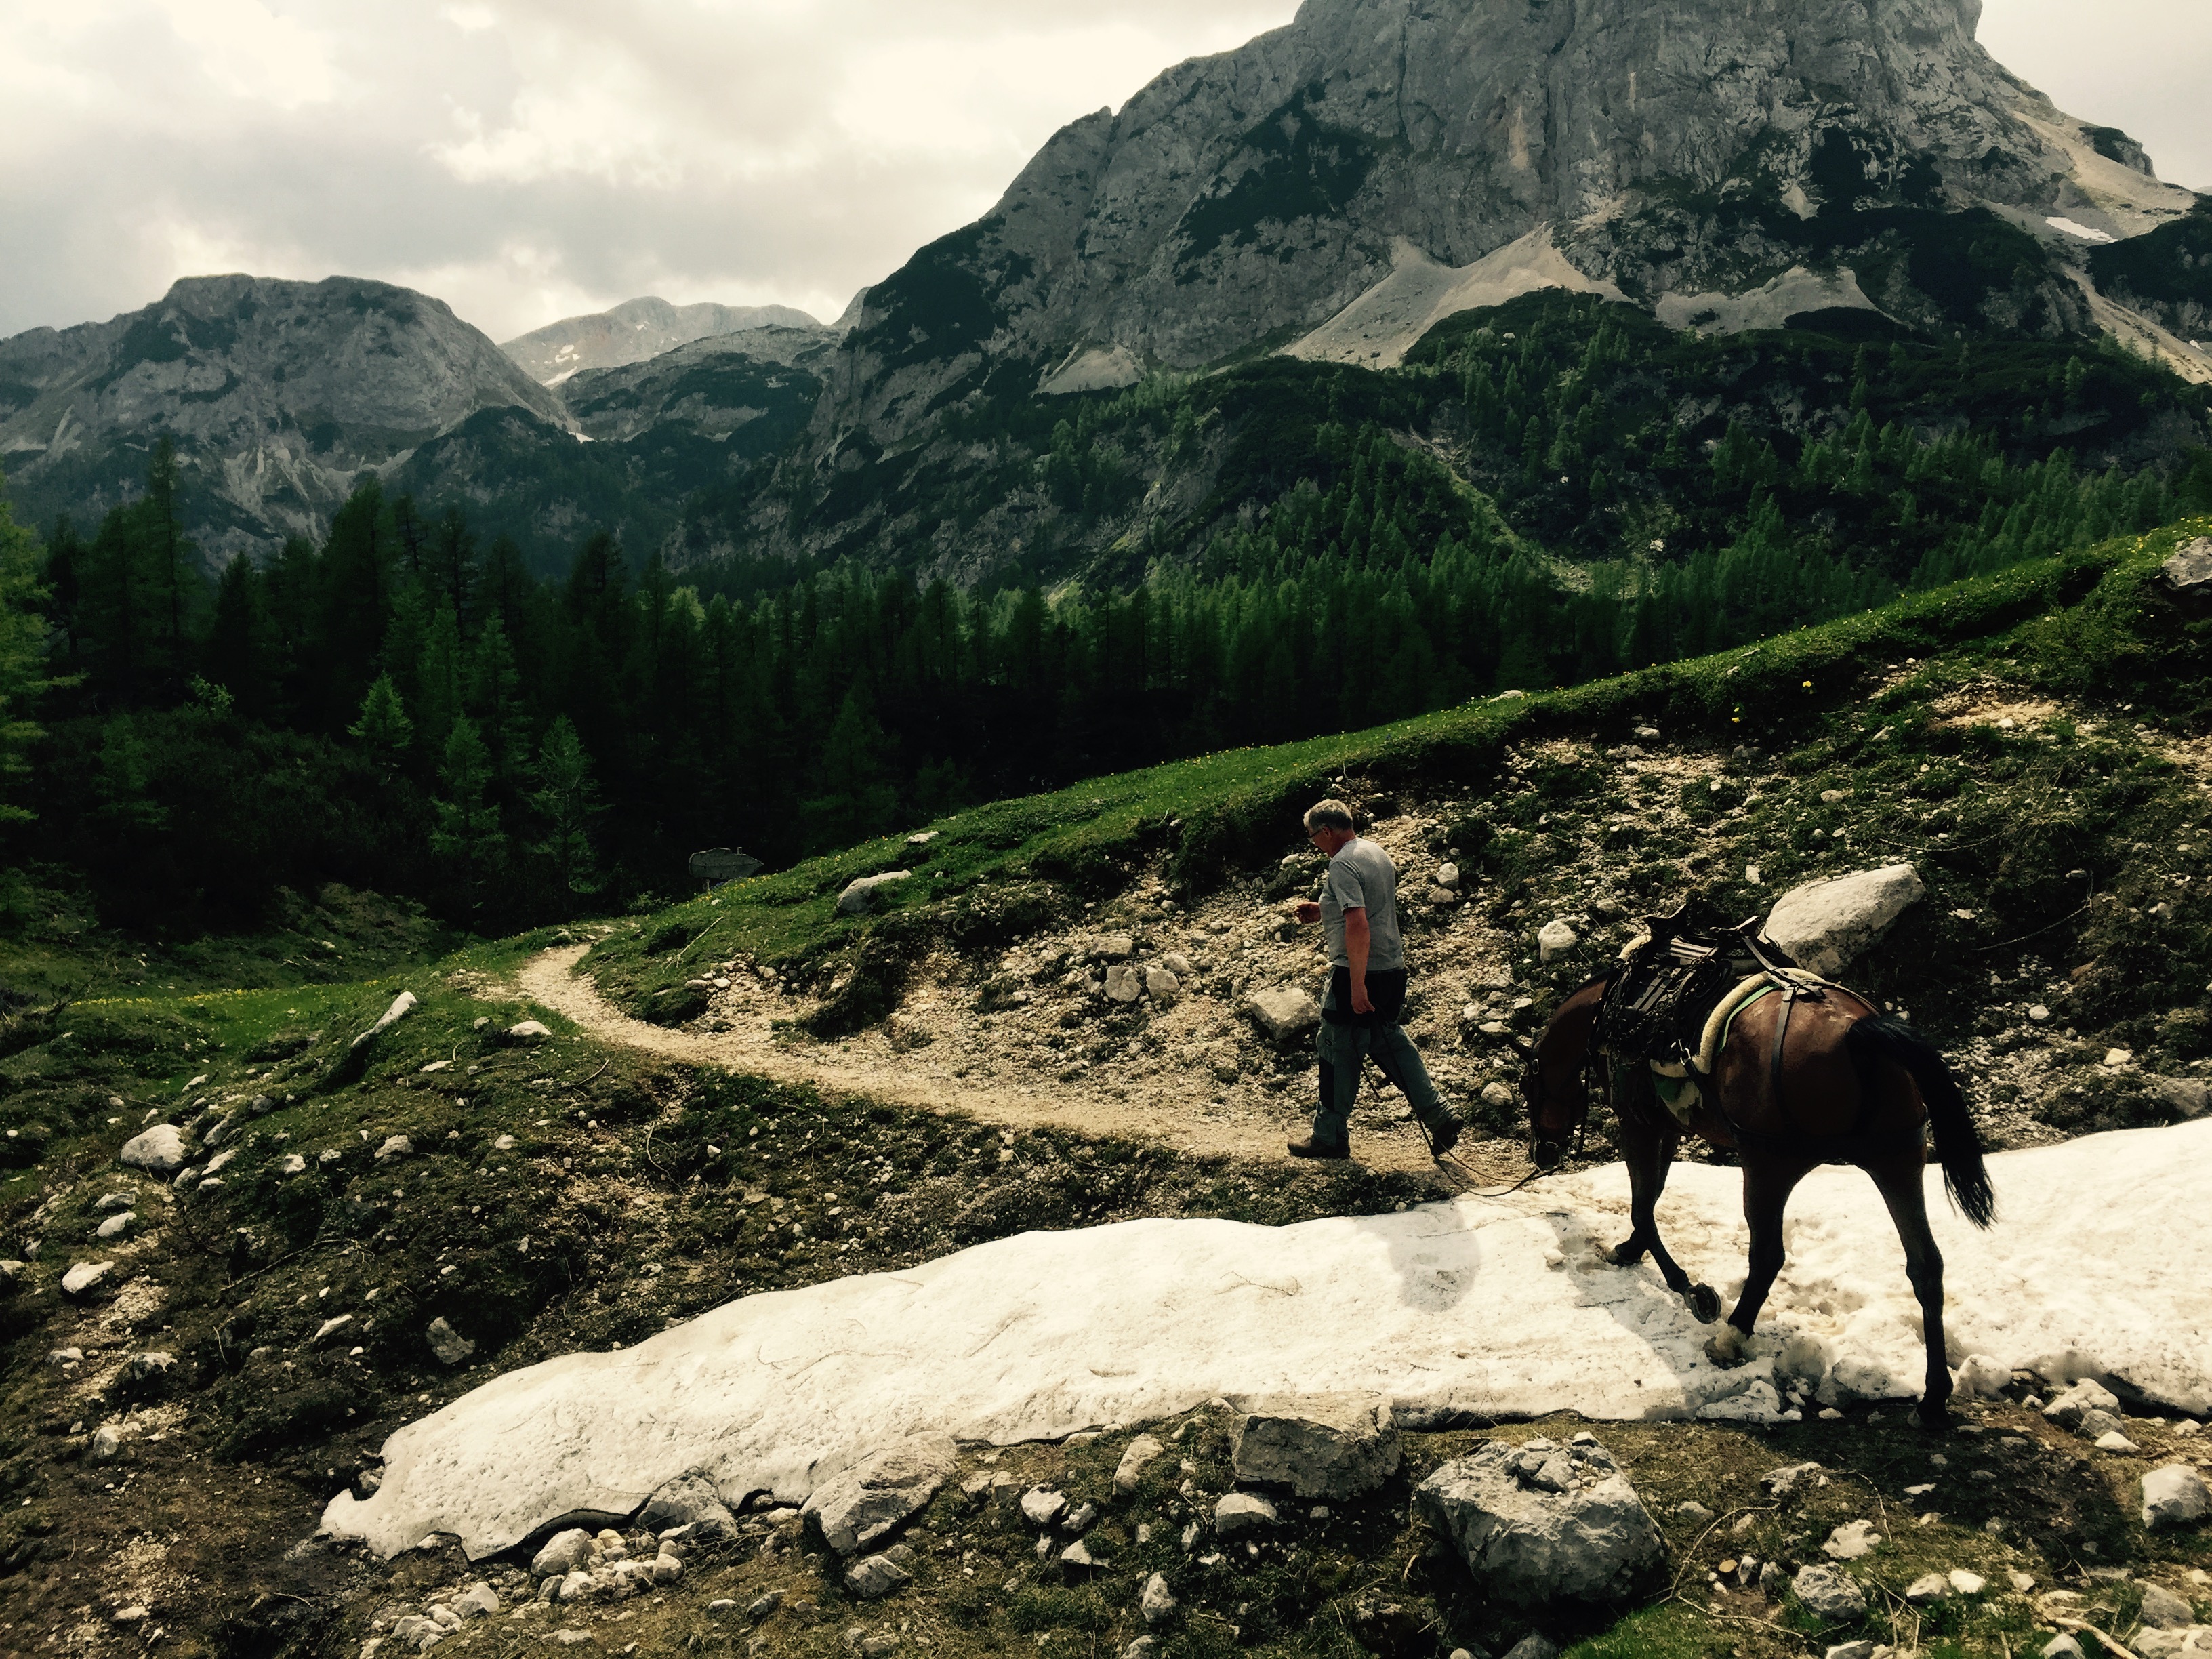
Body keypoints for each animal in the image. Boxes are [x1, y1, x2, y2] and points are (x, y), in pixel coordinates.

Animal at [1530, 973, 1999, 1433]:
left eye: (1528, 1087)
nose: (1541, 1155)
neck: (1611, 1009)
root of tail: (1855, 1035)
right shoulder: (1668, 1125)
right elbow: (1653, 1194)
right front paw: (1632, 1250)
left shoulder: (1639, 1124)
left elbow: (1642, 1205)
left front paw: (1689, 1289)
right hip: (1897, 1159)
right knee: (1926, 1266)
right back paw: (1933, 1399)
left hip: (1767, 1165)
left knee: (1769, 1255)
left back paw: (1730, 1337)